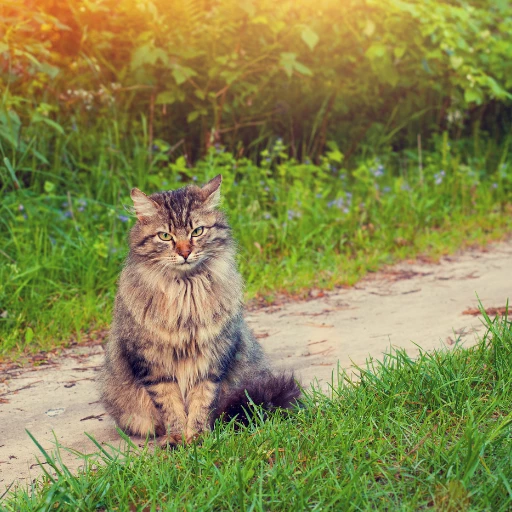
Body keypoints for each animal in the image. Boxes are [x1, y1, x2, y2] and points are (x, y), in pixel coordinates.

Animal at [101, 173, 300, 444]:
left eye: (197, 231)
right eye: (165, 236)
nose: (185, 252)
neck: (186, 293)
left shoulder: (212, 358)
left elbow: (201, 402)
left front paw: (197, 439)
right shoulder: (153, 364)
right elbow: (170, 406)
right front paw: (177, 438)